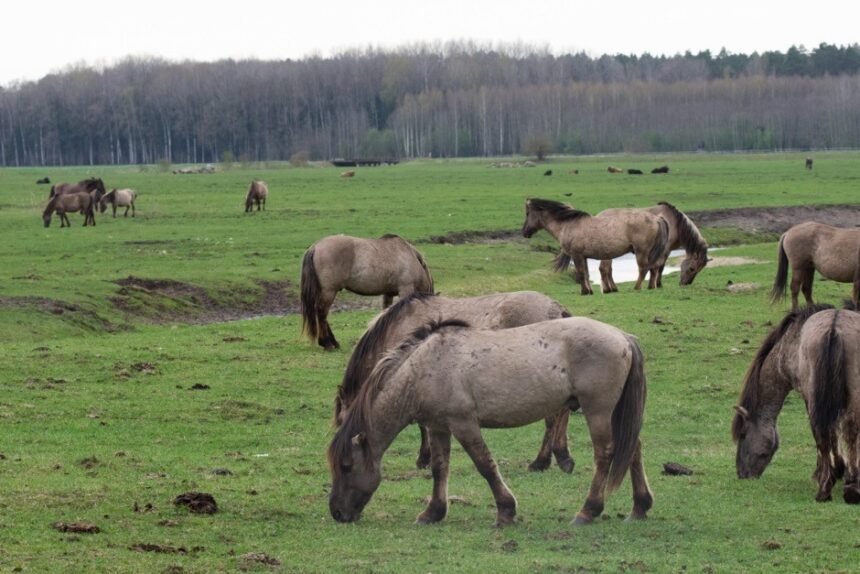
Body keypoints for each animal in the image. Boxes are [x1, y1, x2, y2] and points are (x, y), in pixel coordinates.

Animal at [300, 234, 434, 352]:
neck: (410, 257)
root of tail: (315, 247)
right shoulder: (405, 290)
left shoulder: (388, 294)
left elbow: (387, 313)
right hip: (329, 292)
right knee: (322, 313)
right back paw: (327, 343)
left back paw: (332, 342)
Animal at [330, 318, 652, 528]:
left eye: (346, 466)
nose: (337, 513)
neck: (424, 369)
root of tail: (623, 336)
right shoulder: (438, 427)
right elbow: (439, 468)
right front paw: (433, 512)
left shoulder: (464, 424)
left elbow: (484, 465)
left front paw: (506, 511)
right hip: (615, 413)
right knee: (633, 448)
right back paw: (640, 507)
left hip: (597, 411)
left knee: (605, 455)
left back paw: (588, 511)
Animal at [336, 292, 576, 476]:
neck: (398, 325)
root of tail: (557, 309)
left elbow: (423, 425)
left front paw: (424, 458)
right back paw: (562, 456)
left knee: (553, 418)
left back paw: (542, 461)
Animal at [524, 199, 672, 296]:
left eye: (527, 213)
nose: (524, 232)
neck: (568, 224)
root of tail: (656, 218)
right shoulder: (583, 257)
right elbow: (586, 273)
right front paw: (589, 291)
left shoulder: (577, 256)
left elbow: (581, 272)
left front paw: (584, 291)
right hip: (651, 252)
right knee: (654, 268)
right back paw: (651, 287)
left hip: (641, 251)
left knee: (643, 269)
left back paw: (636, 288)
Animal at [732, 304, 860, 506]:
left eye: (743, 434)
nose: (742, 474)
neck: (791, 342)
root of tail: (834, 328)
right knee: (847, 429)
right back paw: (848, 489)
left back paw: (826, 488)